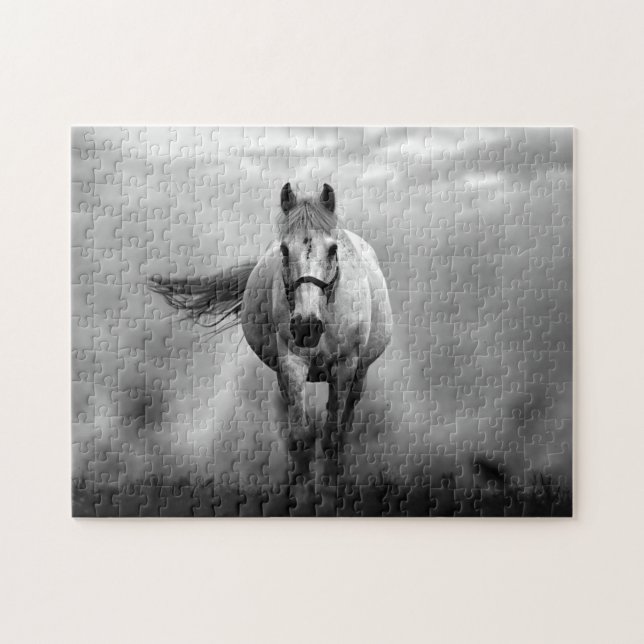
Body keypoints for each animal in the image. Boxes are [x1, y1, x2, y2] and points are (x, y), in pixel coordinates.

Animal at [150, 183, 392, 483]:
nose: (306, 326)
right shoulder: (291, 363)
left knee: (344, 422)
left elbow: (331, 437)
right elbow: (301, 438)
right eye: (285, 250)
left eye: (333, 249)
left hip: (360, 374)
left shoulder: (345, 366)